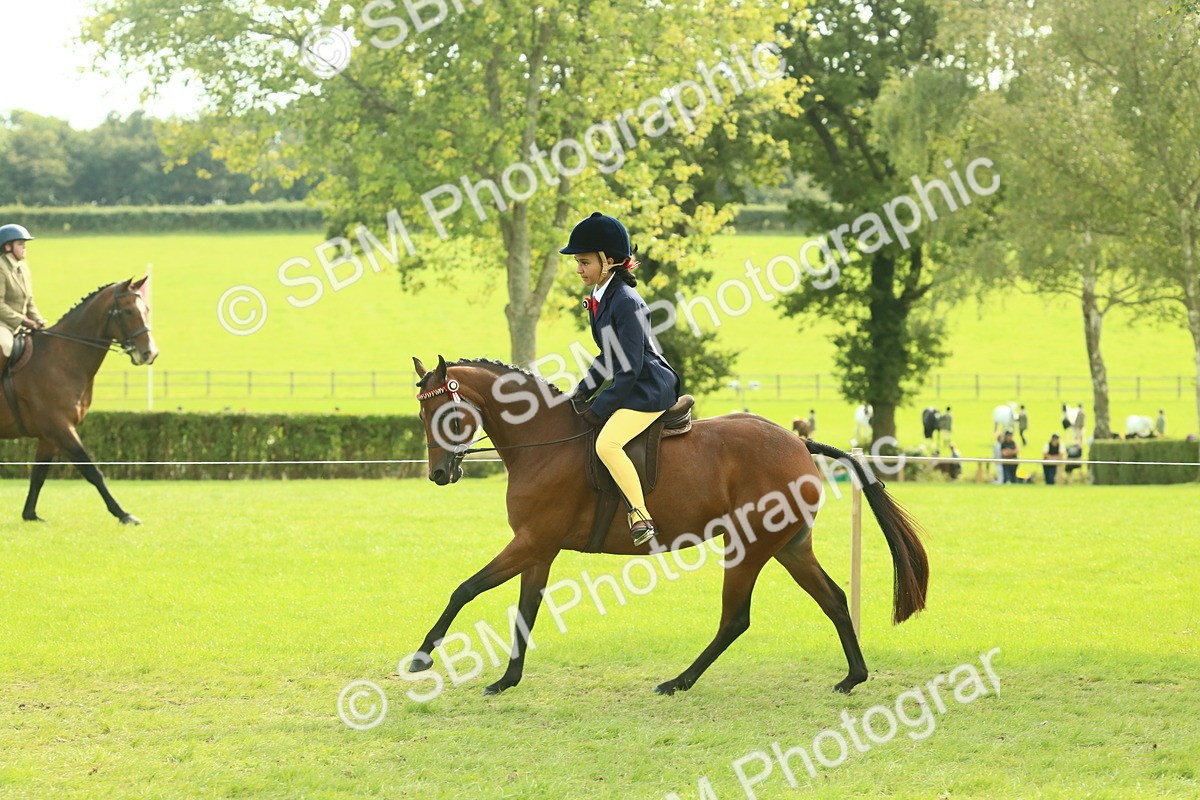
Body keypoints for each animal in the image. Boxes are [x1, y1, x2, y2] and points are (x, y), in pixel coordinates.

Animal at [0, 278, 157, 524]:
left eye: (147, 309)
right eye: (128, 311)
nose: (150, 353)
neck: (62, 359)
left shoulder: (49, 436)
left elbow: (39, 474)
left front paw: (30, 515)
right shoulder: (61, 427)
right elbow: (92, 471)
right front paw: (123, 514)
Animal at [407, 356, 928, 696]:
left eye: (446, 414)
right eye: (421, 413)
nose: (439, 474)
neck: (544, 441)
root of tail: (800, 443)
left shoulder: (530, 542)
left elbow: (465, 589)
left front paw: (422, 656)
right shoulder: (539, 549)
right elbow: (525, 611)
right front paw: (507, 680)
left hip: (749, 547)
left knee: (735, 619)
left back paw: (678, 681)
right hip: (790, 547)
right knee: (834, 600)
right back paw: (853, 677)